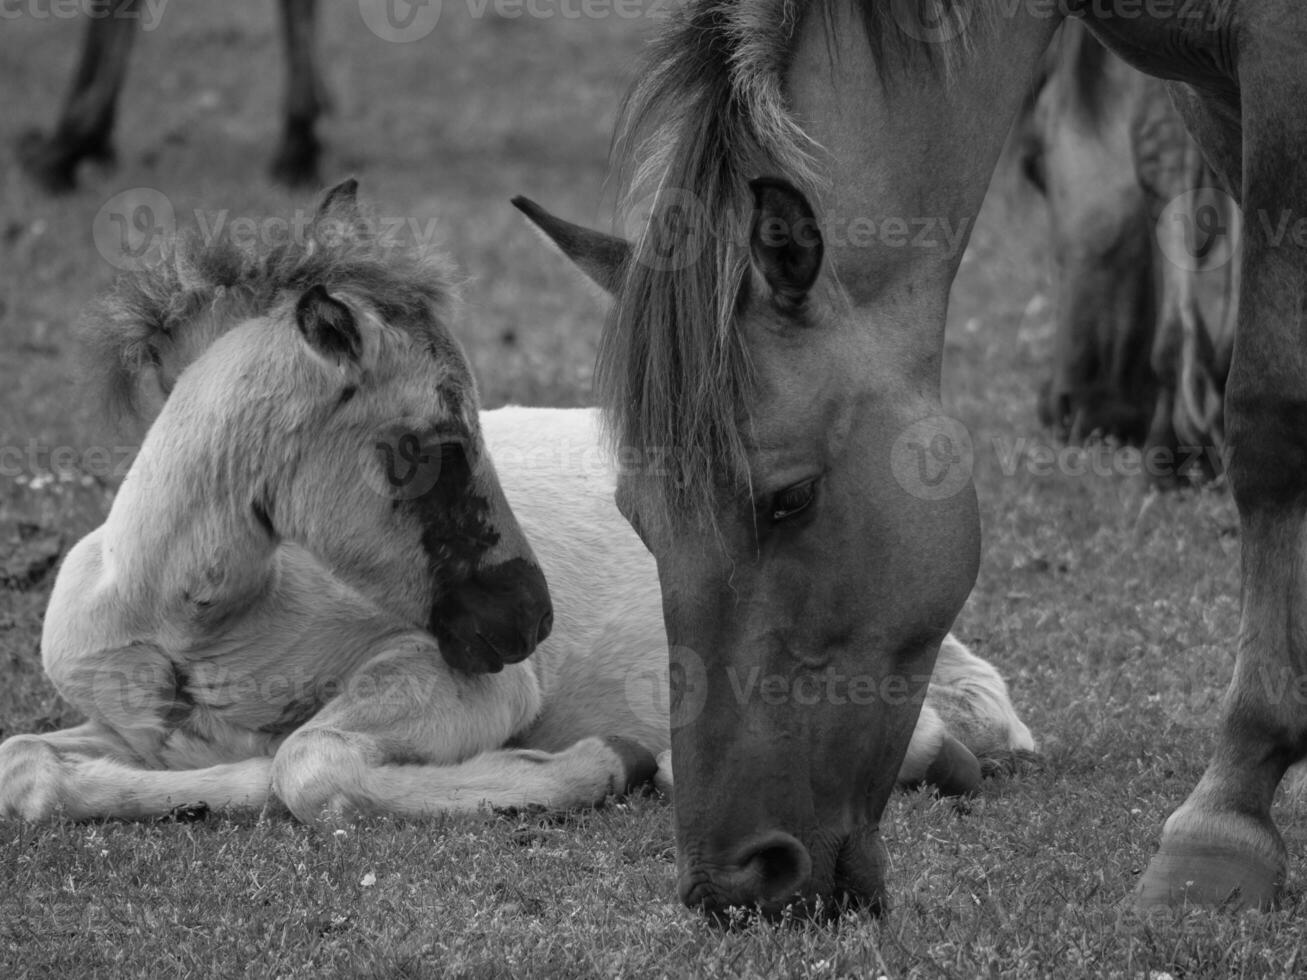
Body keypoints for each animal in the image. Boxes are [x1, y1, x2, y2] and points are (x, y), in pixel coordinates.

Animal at [2, 182, 1040, 831]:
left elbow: (306, 763)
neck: (183, 630)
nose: (531, 618)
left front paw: (600, 766)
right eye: (439, 447)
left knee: (972, 709)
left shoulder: (472, 681)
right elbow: (25, 766)